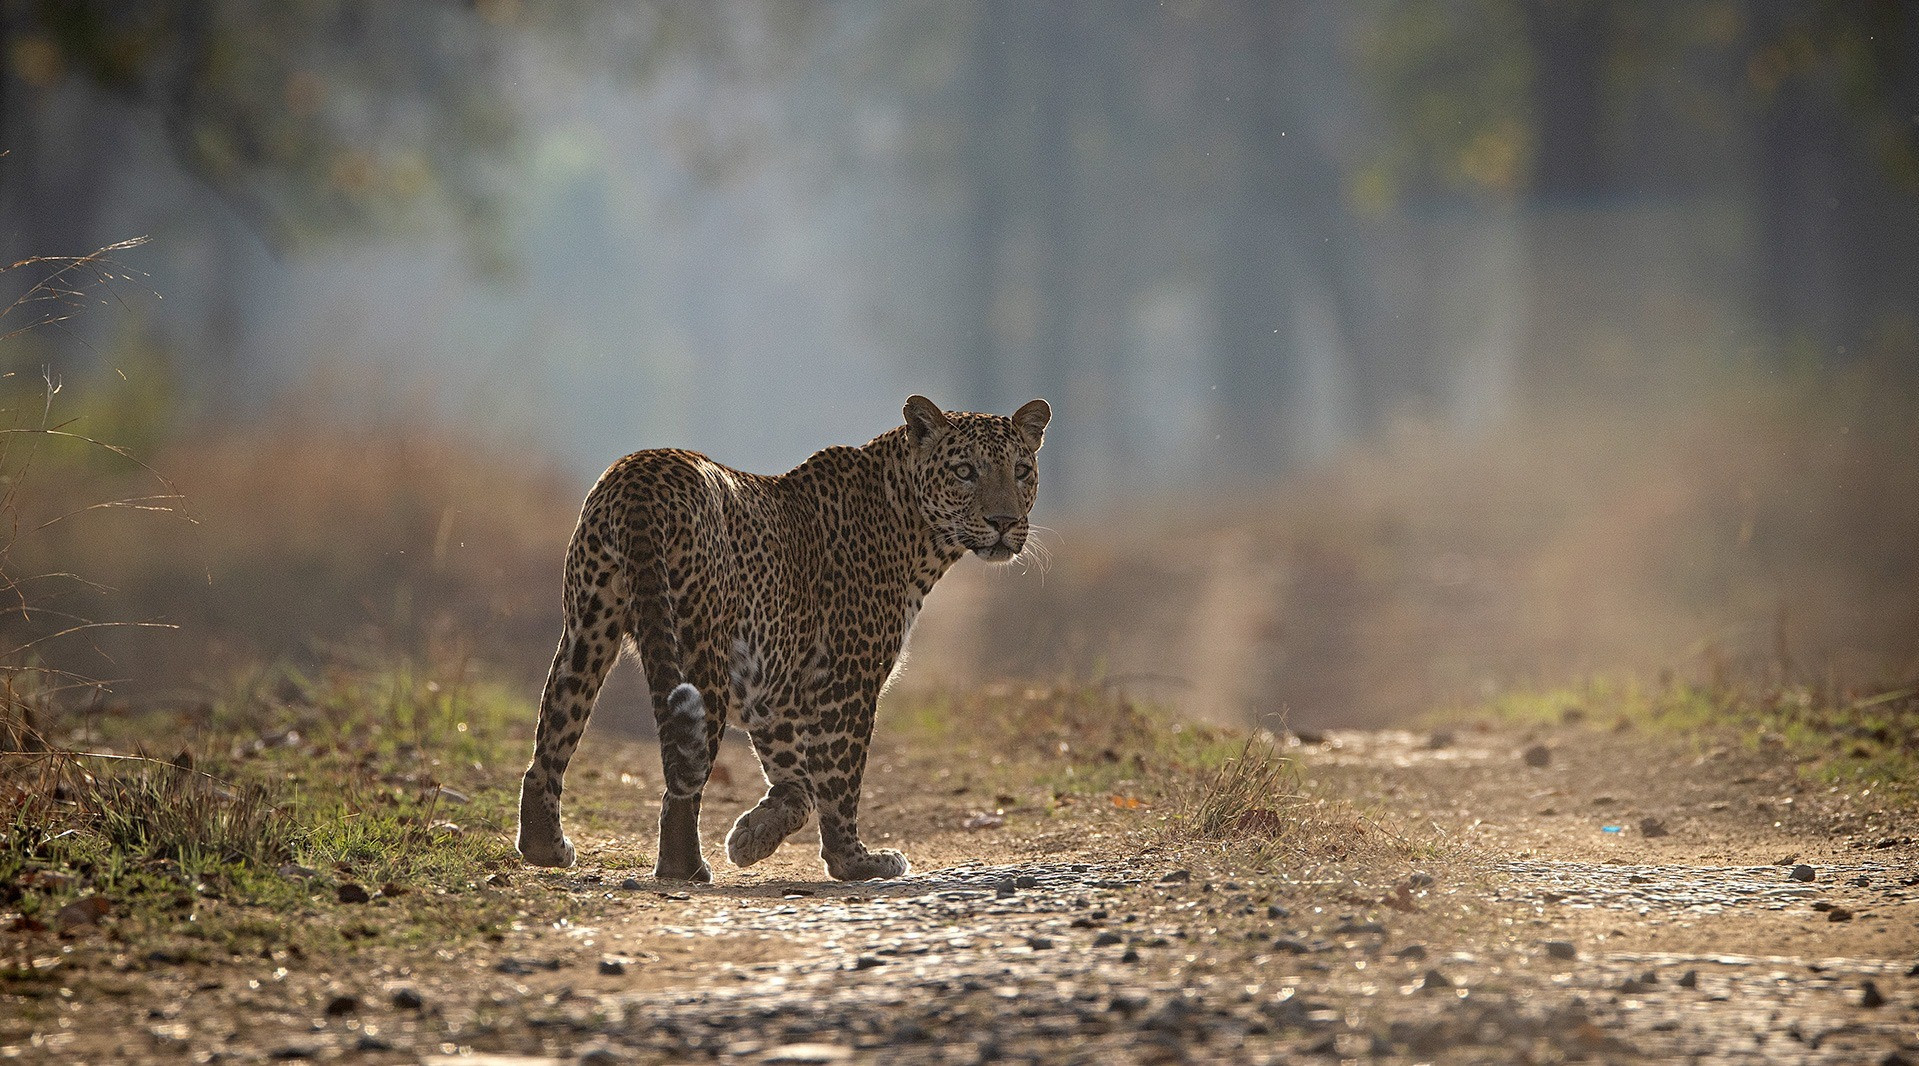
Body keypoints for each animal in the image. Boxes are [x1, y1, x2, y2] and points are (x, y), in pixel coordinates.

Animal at [518, 395, 1051, 879]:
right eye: (964, 471)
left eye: (1022, 470)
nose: (1004, 522)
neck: (917, 533)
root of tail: (641, 475)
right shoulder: (848, 679)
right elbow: (839, 779)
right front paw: (855, 862)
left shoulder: (776, 690)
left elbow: (799, 787)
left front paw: (753, 836)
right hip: (697, 650)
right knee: (682, 771)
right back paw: (685, 868)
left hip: (588, 629)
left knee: (552, 742)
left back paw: (547, 847)